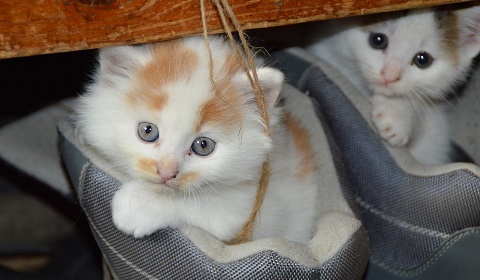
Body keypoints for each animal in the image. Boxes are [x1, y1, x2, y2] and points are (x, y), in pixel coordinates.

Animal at [77, 35, 320, 243]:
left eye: (203, 145)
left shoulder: (258, 211)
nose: (166, 173)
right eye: (147, 131)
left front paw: (137, 207)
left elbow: (203, 203)